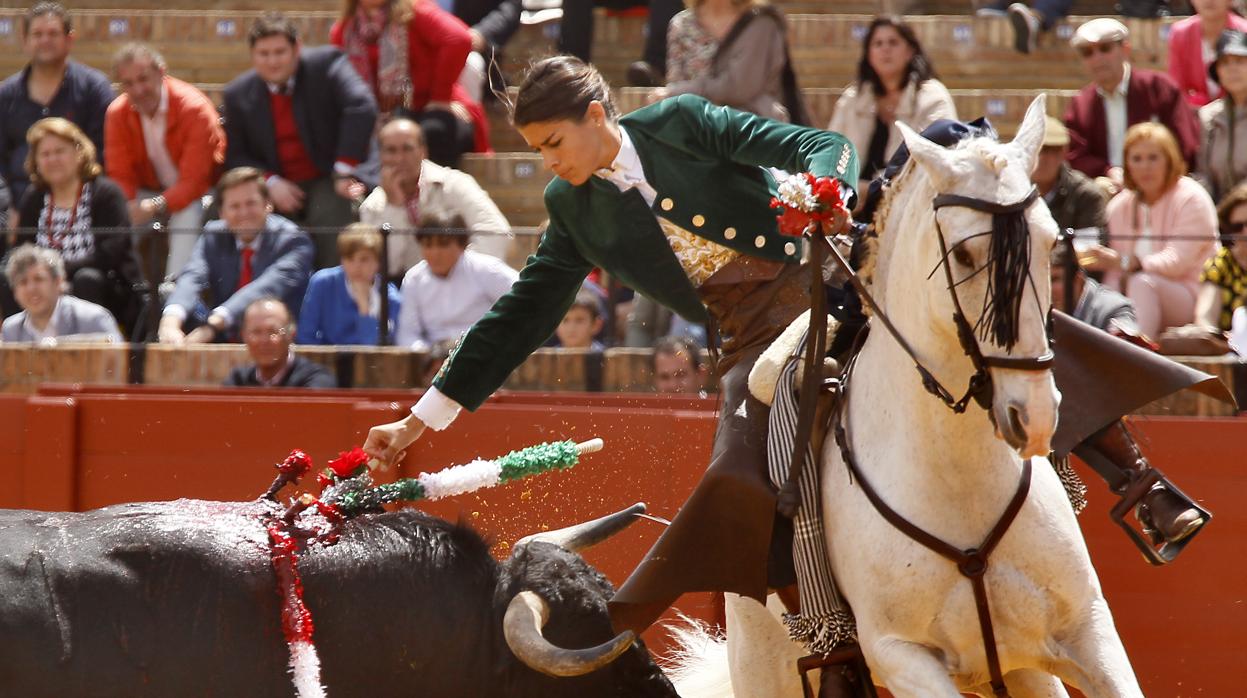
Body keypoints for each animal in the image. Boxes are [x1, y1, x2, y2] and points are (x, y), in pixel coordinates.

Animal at [678, 96, 1142, 698]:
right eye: (965, 256)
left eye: (1046, 241)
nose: (1035, 415)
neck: (960, 481)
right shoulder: (899, 654)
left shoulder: (1084, 628)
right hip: (764, 663)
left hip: (1025, 671)